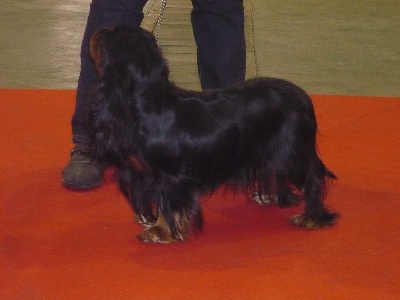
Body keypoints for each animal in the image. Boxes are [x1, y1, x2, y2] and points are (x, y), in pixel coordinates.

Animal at [88, 24, 338, 243]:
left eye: (107, 35)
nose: (96, 31)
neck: (150, 102)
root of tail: (303, 96)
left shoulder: (171, 178)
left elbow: (168, 205)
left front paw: (164, 232)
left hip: (293, 153)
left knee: (312, 180)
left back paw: (311, 218)